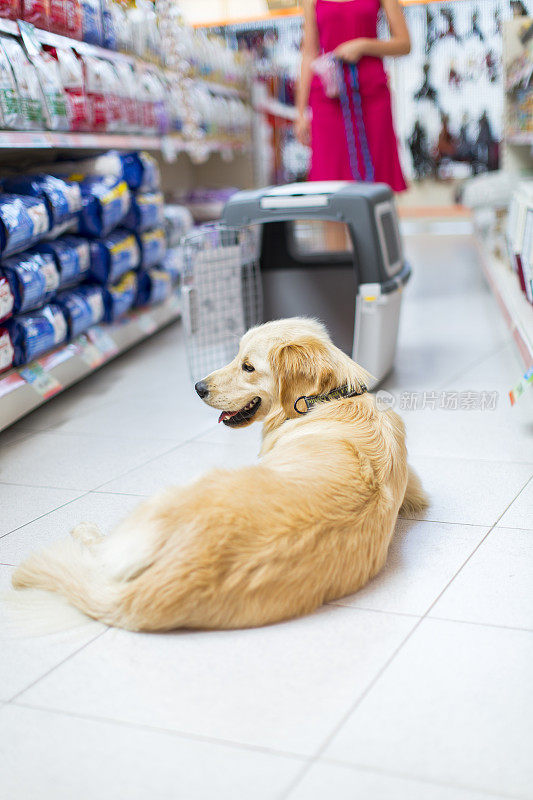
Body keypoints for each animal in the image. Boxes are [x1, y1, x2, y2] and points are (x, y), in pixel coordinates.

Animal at [11, 318, 428, 632]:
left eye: (248, 366)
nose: (197, 387)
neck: (329, 399)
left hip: (167, 497)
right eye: (236, 355)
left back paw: (85, 531)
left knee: (102, 553)